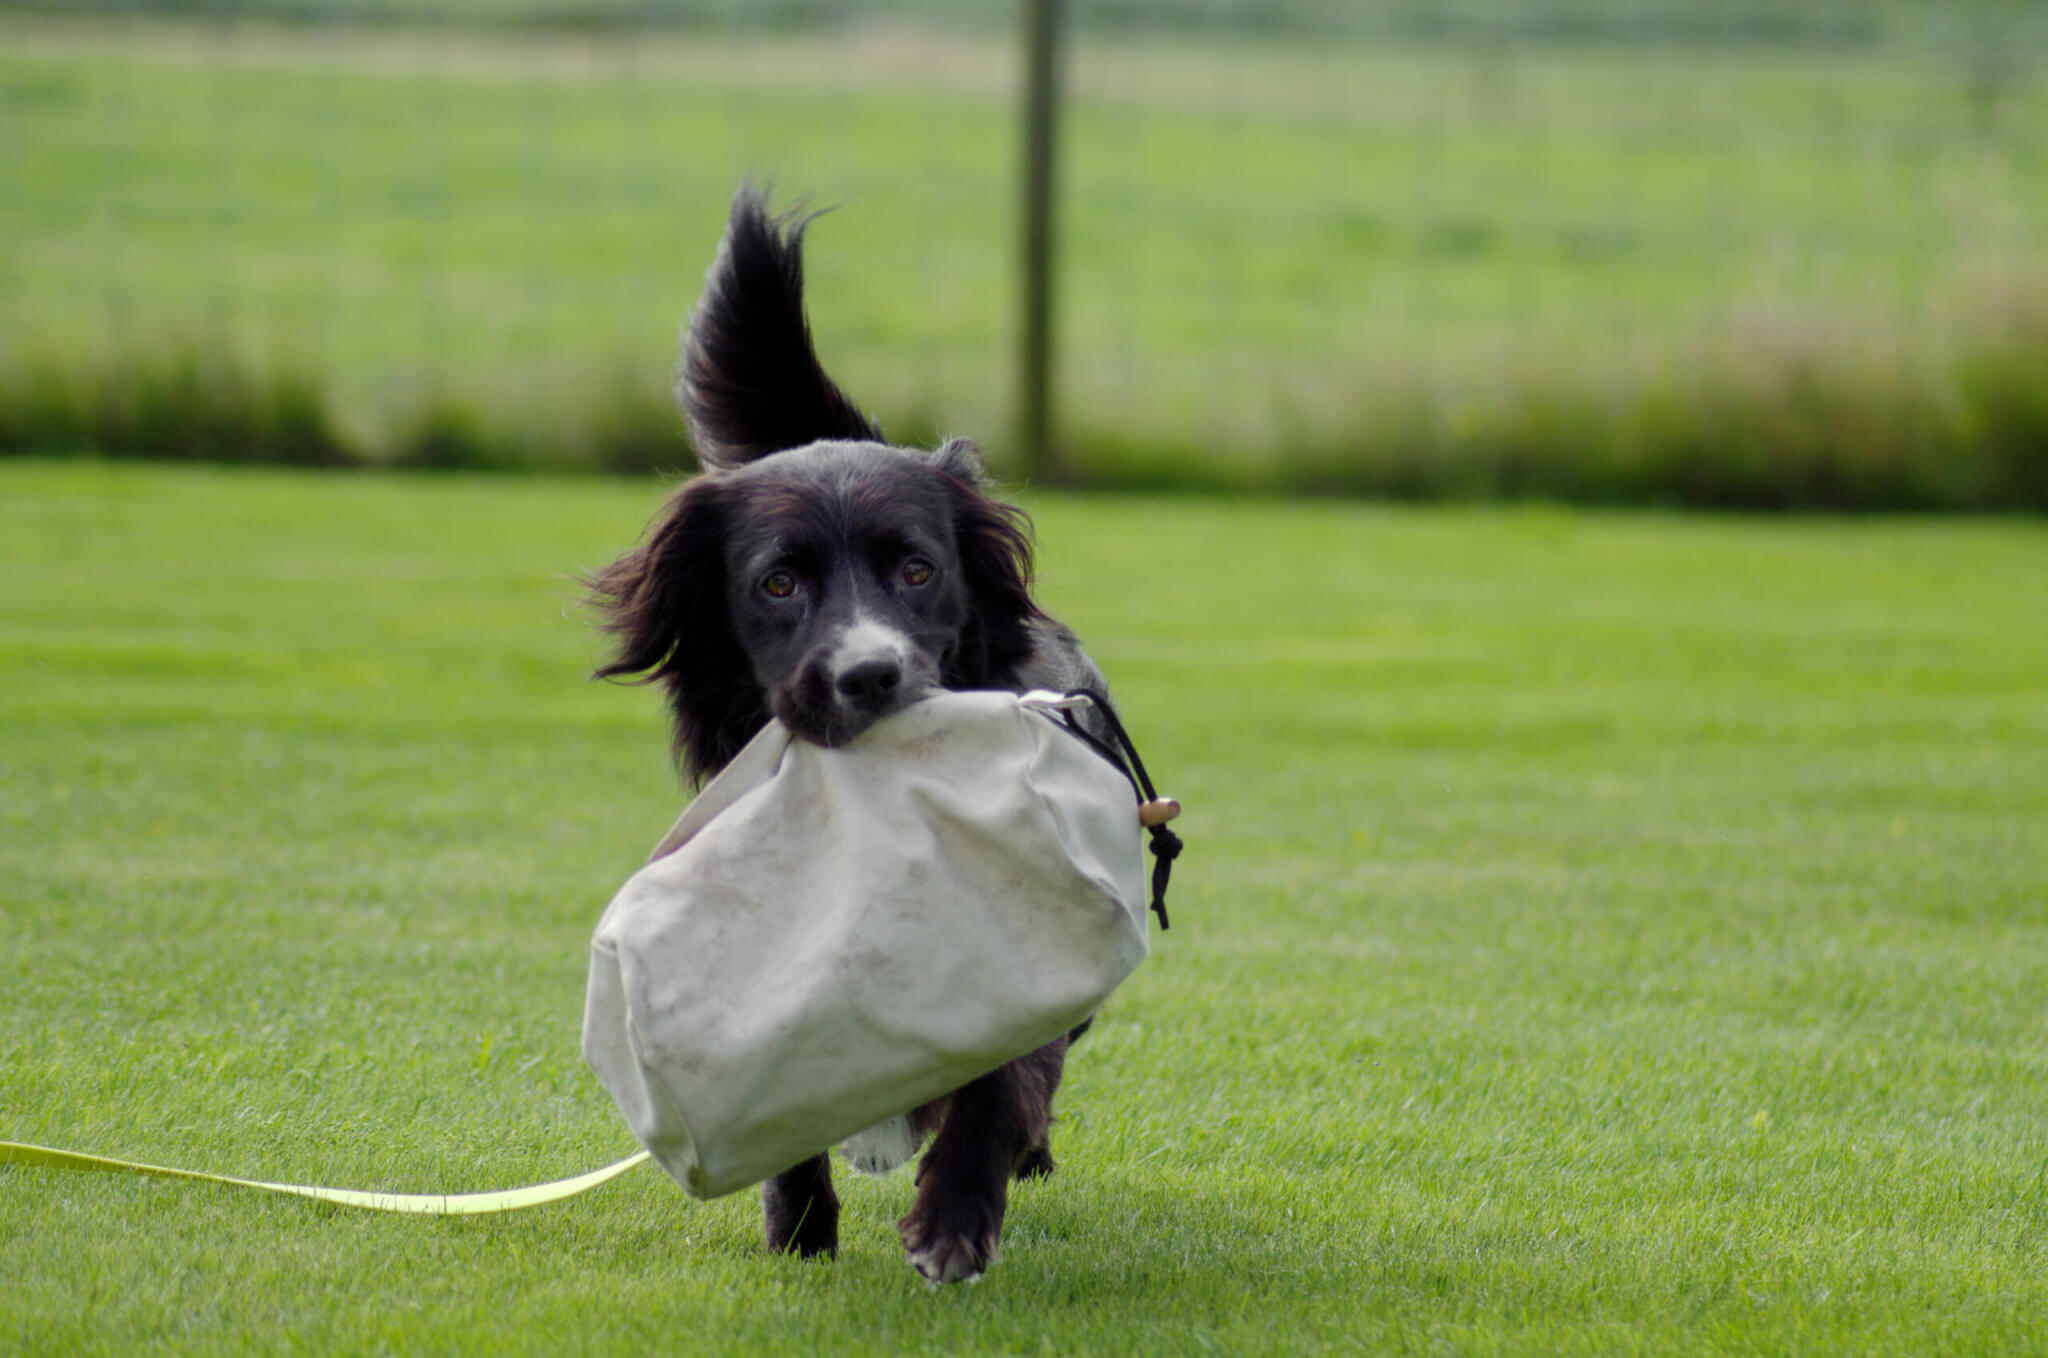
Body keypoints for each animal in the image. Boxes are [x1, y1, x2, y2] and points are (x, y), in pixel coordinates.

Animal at [585, 188, 1114, 1286]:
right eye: (778, 582)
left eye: (916, 569)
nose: (869, 675)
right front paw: (799, 1235)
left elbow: (999, 1075)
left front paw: (955, 1217)